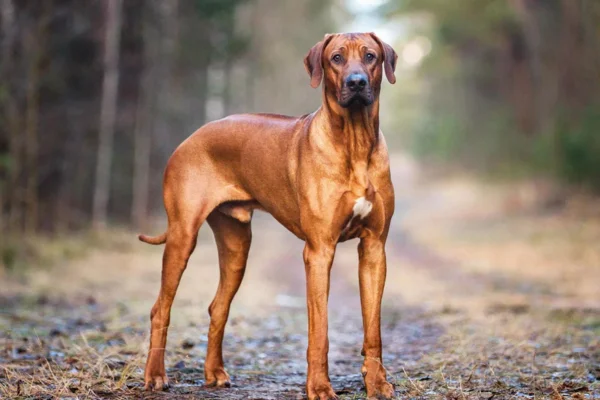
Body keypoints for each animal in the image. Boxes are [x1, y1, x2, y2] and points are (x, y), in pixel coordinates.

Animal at [138, 32, 396, 400]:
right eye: (336, 58)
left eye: (371, 56)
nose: (357, 82)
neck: (355, 142)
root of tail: (191, 137)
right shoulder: (319, 252)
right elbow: (320, 331)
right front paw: (319, 387)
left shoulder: (374, 249)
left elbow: (373, 329)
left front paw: (376, 382)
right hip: (182, 236)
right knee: (160, 308)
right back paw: (156, 376)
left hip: (236, 246)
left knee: (218, 307)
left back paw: (214, 373)